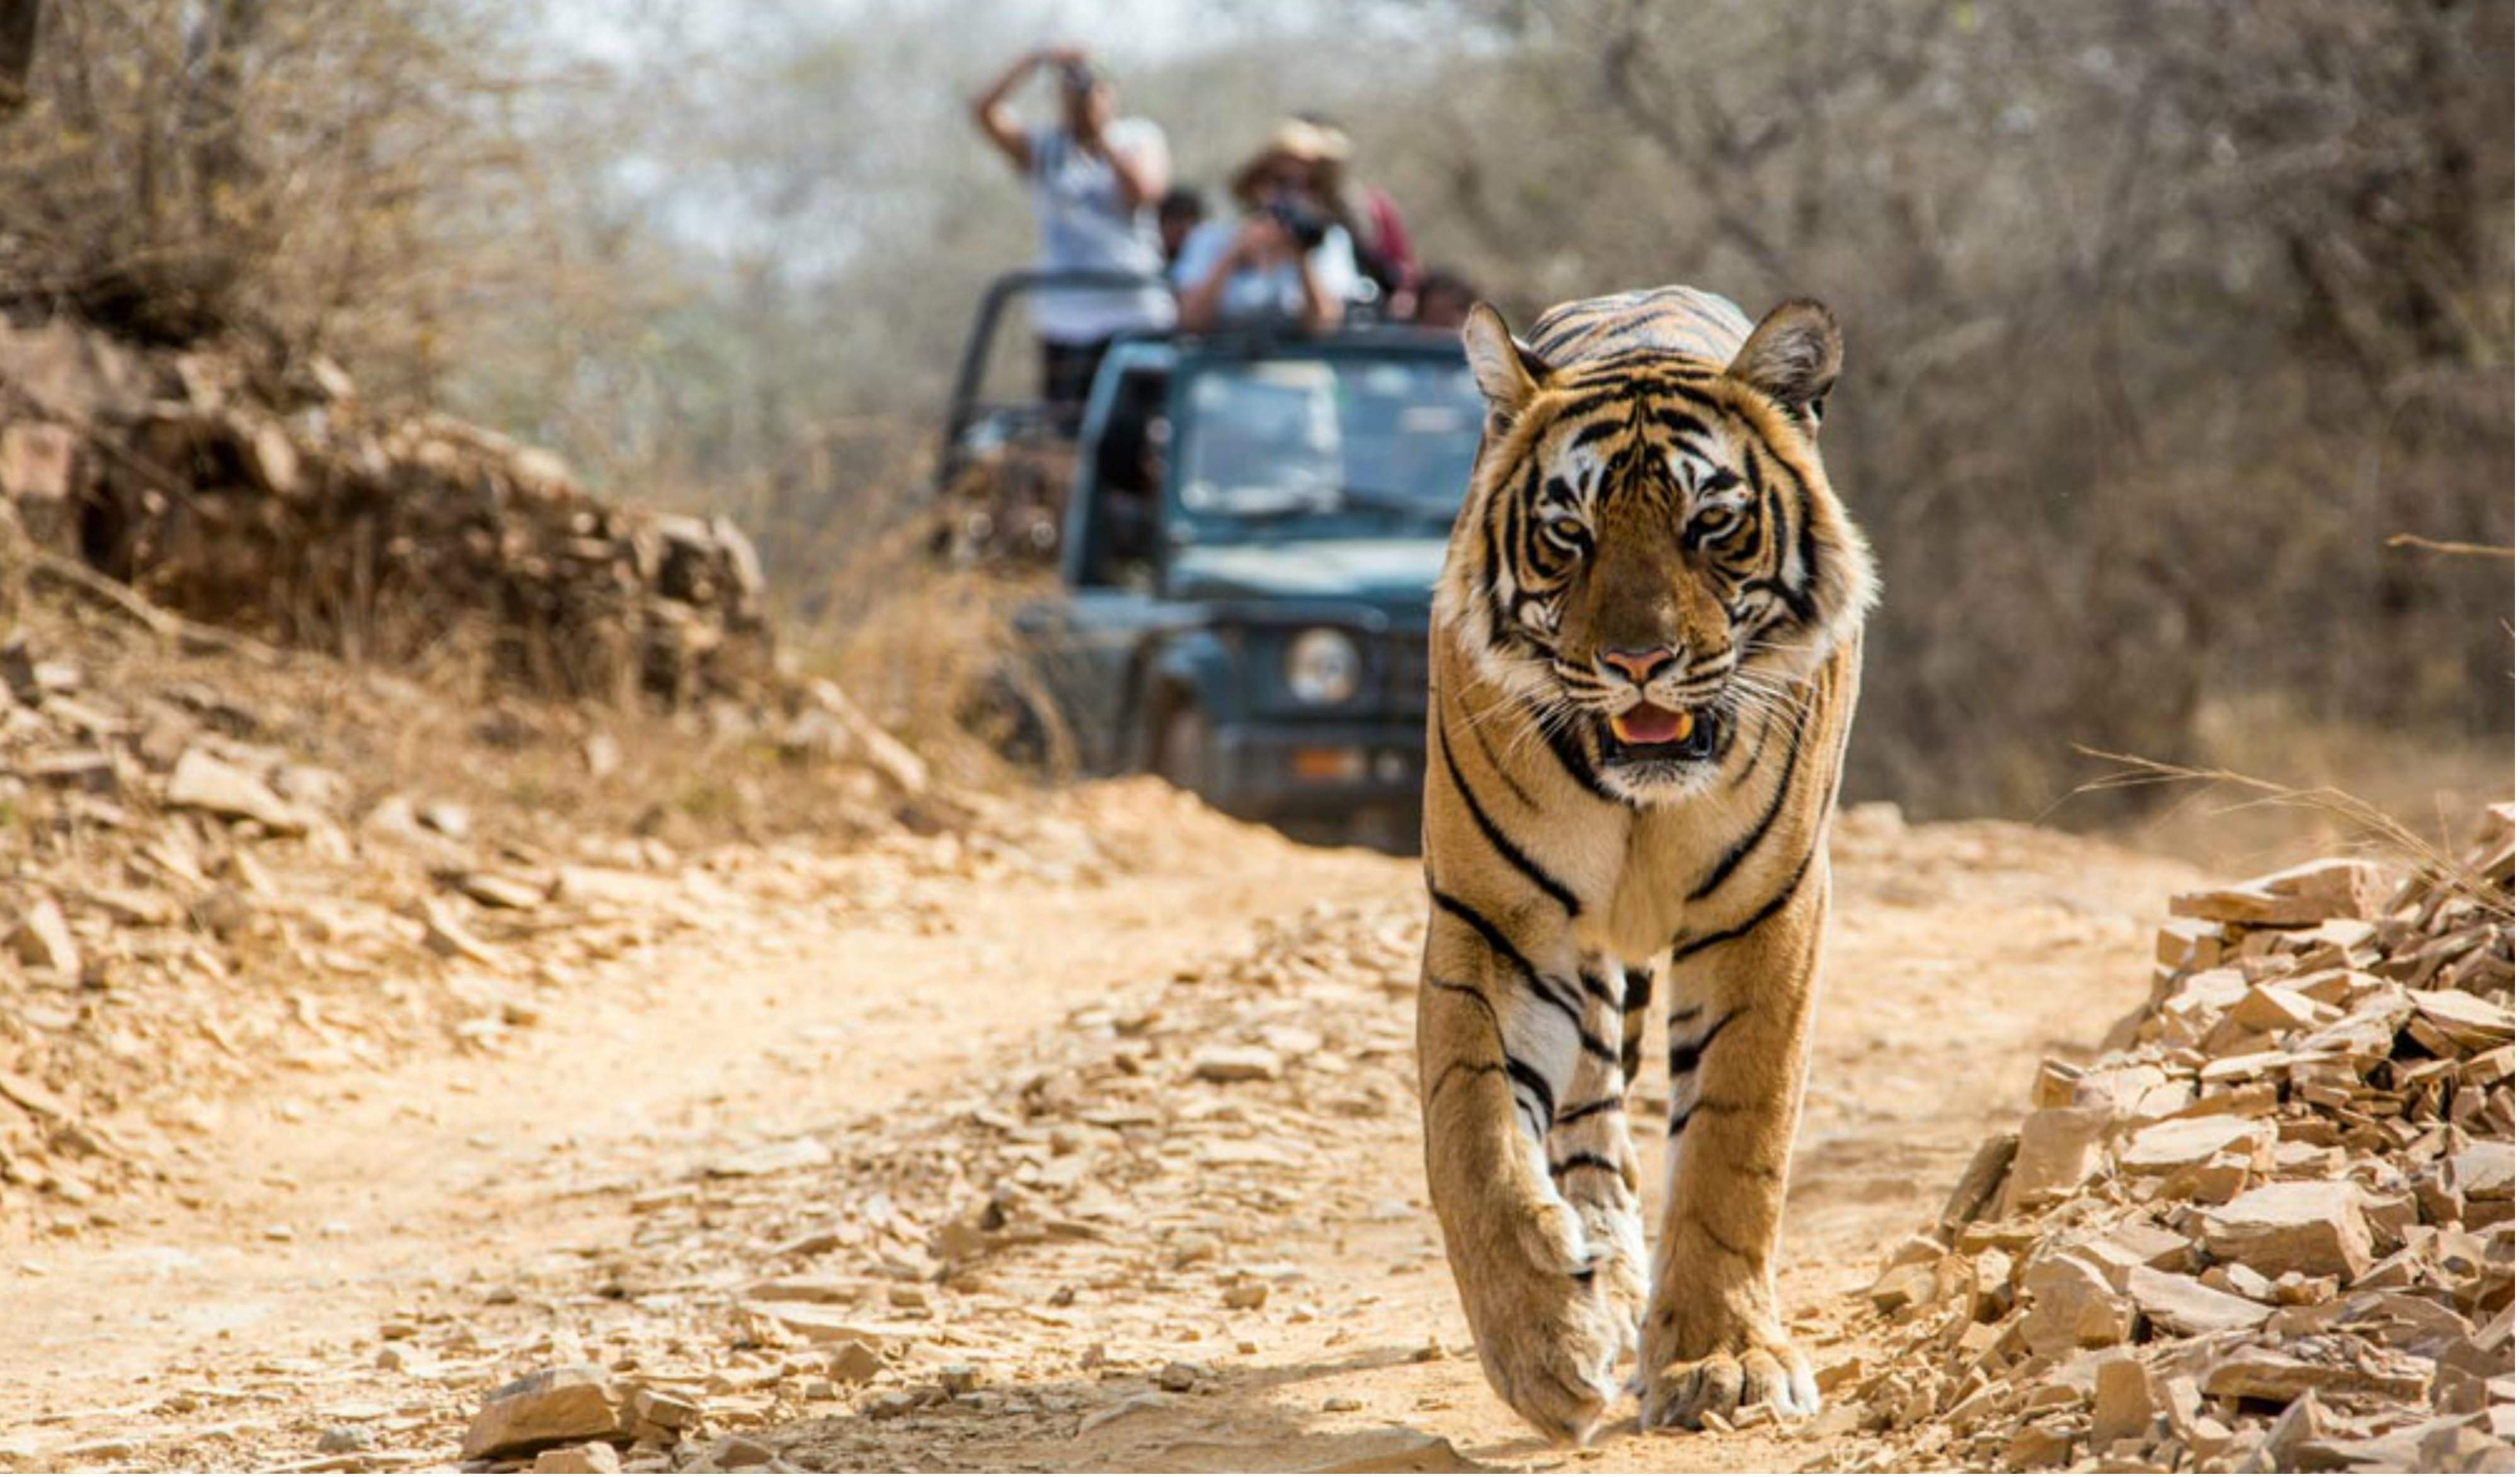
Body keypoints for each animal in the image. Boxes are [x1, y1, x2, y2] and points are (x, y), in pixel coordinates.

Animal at [1415, 286, 1876, 1441]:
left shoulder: (1768, 911)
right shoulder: (1494, 919)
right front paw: (1544, 1344)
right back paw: (1602, 1273)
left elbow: (1733, 1144)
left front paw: (1726, 1363)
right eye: (1567, 536)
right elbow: (1472, 1137)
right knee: (1585, 1115)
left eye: (1710, 525)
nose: (1637, 663)